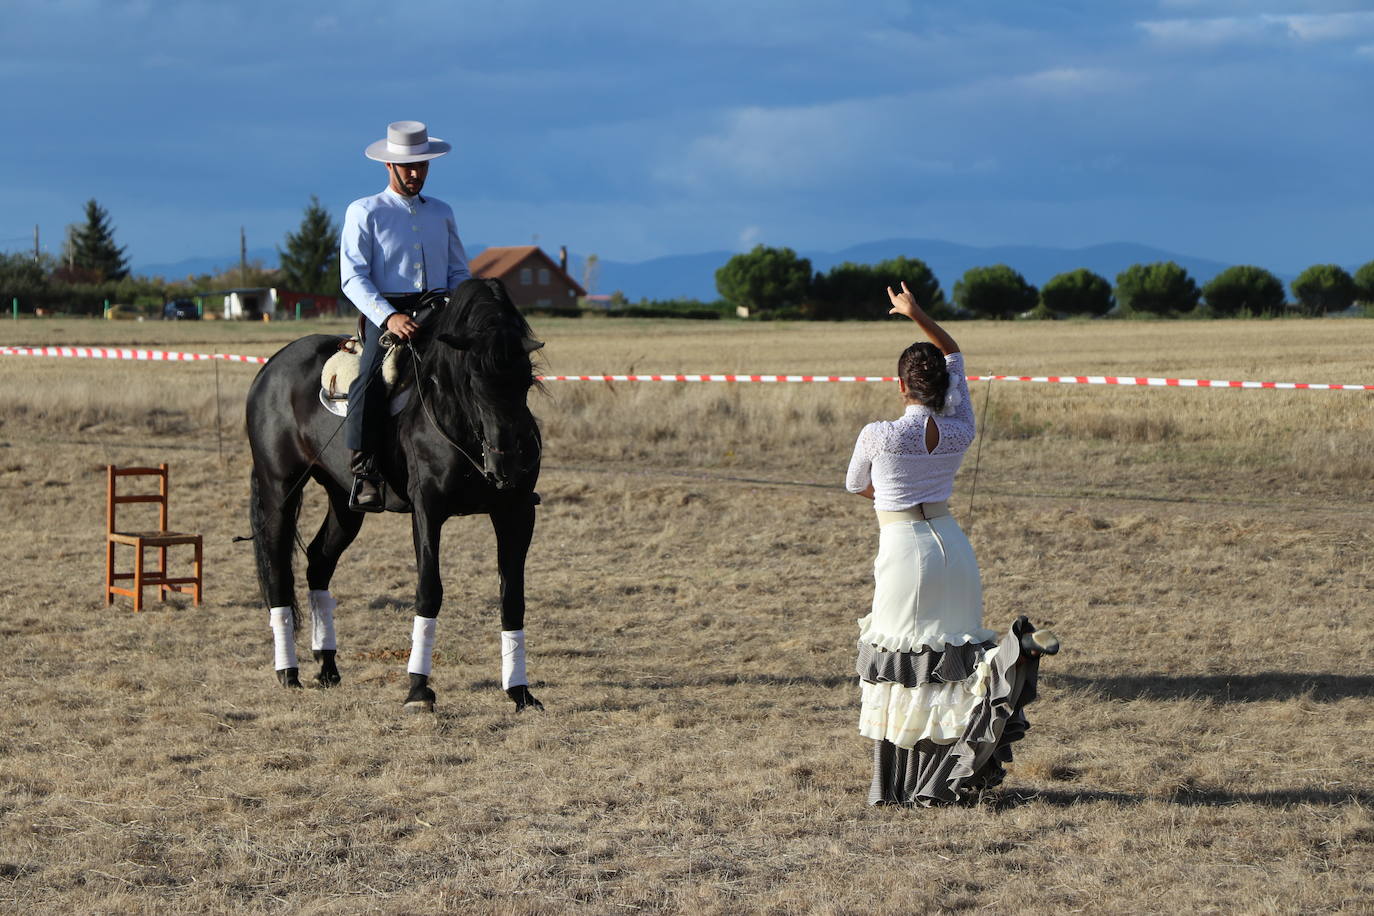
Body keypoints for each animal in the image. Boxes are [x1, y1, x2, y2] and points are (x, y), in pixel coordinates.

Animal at [244, 276, 544, 714]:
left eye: (526, 378)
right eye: (473, 379)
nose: (513, 465)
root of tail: (271, 367)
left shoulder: (516, 512)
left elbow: (513, 598)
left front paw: (520, 692)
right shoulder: (428, 511)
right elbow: (429, 591)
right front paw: (418, 689)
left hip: (344, 502)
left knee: (318, 562)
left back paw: (327, 666)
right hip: (279, 488)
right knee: (277, 569)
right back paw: (289, 671)